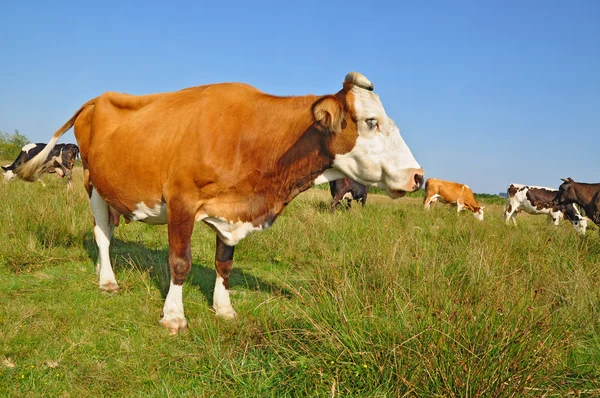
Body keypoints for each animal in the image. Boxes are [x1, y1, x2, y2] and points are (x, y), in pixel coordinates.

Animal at [17, 73, 422, 334]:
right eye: (371, 121)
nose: (418, 176)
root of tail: (97, 98)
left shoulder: (232, 214)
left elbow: (224, 264)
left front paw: (224, 308)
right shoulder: (181, 199)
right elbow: (180, 262)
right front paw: (173, 315)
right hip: (93, 183)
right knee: (102, 235)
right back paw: (108, 281)